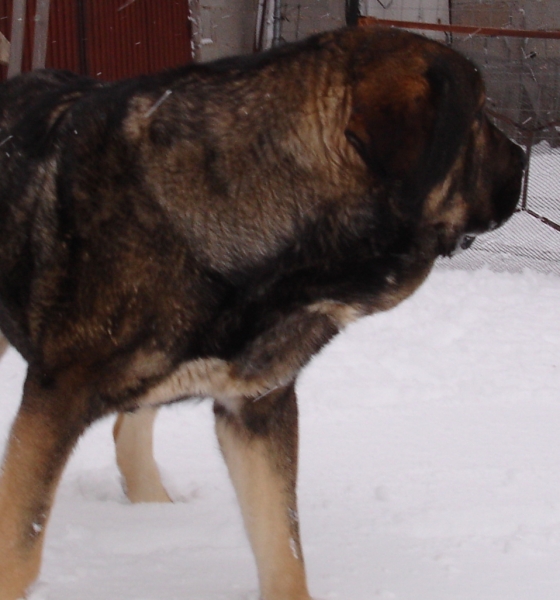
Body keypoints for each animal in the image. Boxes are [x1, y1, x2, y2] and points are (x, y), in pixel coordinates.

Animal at [0, 25, 524, 596]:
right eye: (478, 115)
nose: (524, 159)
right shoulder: (56, 398)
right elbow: (19, 545)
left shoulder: (257, 408)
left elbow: (282, 544)